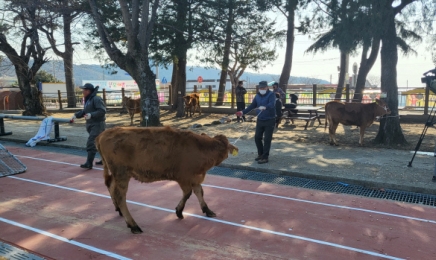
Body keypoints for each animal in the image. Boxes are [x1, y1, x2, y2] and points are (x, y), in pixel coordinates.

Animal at [95, 126, 238, 234]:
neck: (200, 147)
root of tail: (103, 133)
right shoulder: (184, 178)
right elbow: (188, 193)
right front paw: (179, 211)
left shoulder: (194, 178)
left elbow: (199, 192)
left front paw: (207, 210)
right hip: (122, 174)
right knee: (120, 196)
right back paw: (133, 225)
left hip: (116, 174)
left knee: (111, 186)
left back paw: (119, 210)